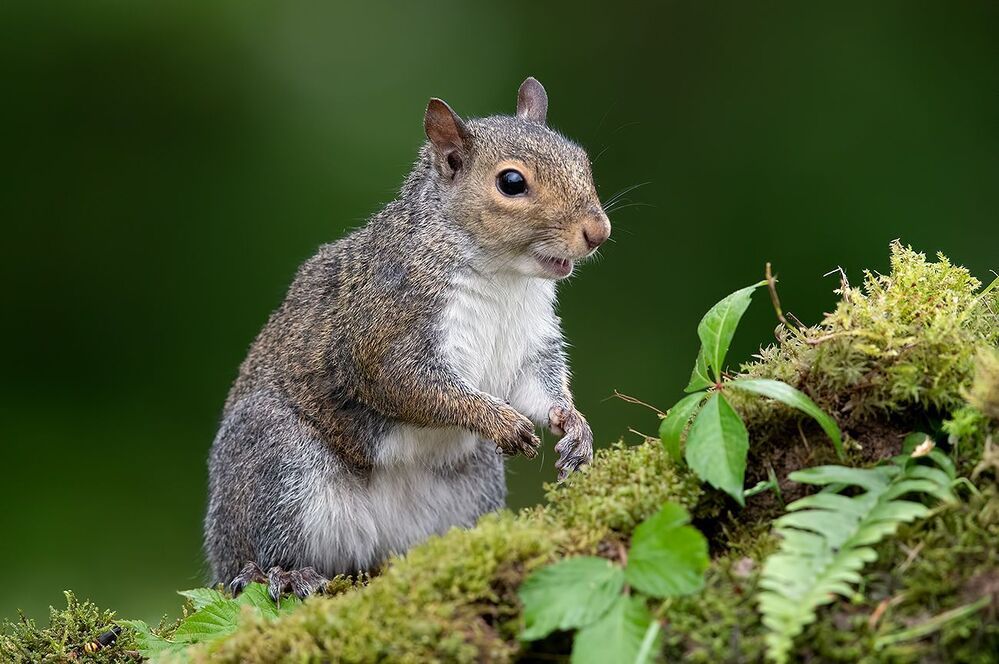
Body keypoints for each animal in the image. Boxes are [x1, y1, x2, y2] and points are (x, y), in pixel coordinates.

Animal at [204, 77, 611, 598]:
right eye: (511, 183)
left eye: (583, 160)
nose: (598, 231)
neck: (505, 277)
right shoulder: (387, 325)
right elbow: (412, 386)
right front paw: (499, 420)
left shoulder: (531, 343)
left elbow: (537, 388)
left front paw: (574, 427)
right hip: (279, 465)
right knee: (256, 558)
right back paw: (283, 574)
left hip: (470, 487)